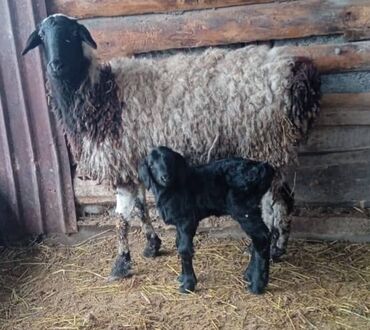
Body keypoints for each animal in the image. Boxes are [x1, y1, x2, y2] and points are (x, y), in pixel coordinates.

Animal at [138, 147, 274, 294]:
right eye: (151, 165)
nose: (165, 177)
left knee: (261, 237)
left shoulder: (187, 220)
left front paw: (188, 284)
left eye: (170, 160)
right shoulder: (179, 223)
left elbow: (184, 249)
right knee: (259, 238)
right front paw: (182, 277)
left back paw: (257, 285)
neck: (172, 189)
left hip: (243, 209)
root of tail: (263, 168)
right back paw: (249, 274)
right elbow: (178, 243)